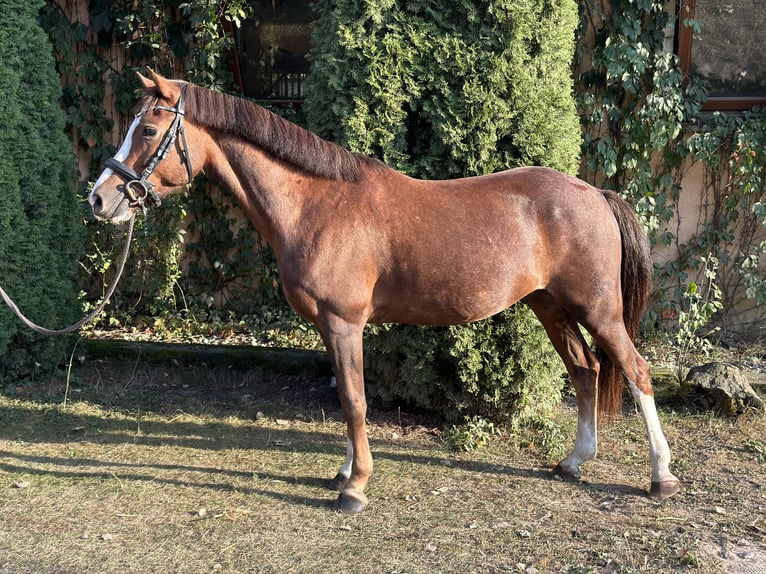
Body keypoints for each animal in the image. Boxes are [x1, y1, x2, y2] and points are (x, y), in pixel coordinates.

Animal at [88, 69, 680, 513]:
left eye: (147, 131)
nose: (99, 198)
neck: (318, 205)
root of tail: (595, 193)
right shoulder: (332, 328)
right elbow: (346, 399)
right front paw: (345, 471)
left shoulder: (343, 321)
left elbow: (354, 400)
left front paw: (354, 488)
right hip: (550, 305)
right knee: (585, 370)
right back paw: (574, 462)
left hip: (598, 309)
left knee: (636, 370)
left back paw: (661, 476)